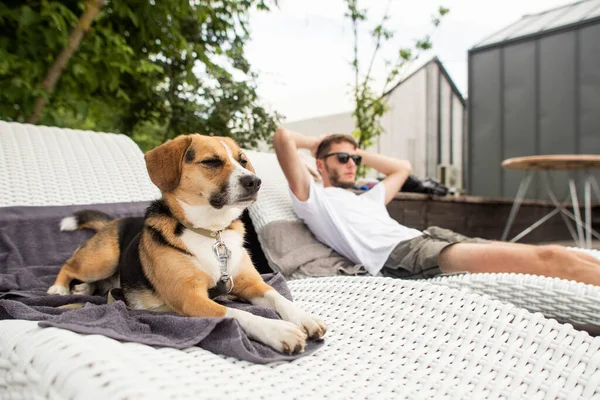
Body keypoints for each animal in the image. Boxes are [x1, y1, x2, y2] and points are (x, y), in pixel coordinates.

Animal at [48, 134, 326, 354]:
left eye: (243, 160)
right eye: (212, 161)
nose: (255, 181)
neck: (212, 233)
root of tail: (117, 220)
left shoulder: (250, 283)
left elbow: (278, 297)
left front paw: (304, 318)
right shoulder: (190, 298)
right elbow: (238, 314)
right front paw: (279, 330)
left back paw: (83, 288)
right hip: (102, 259)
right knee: (69, 266)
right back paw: (59, 288)